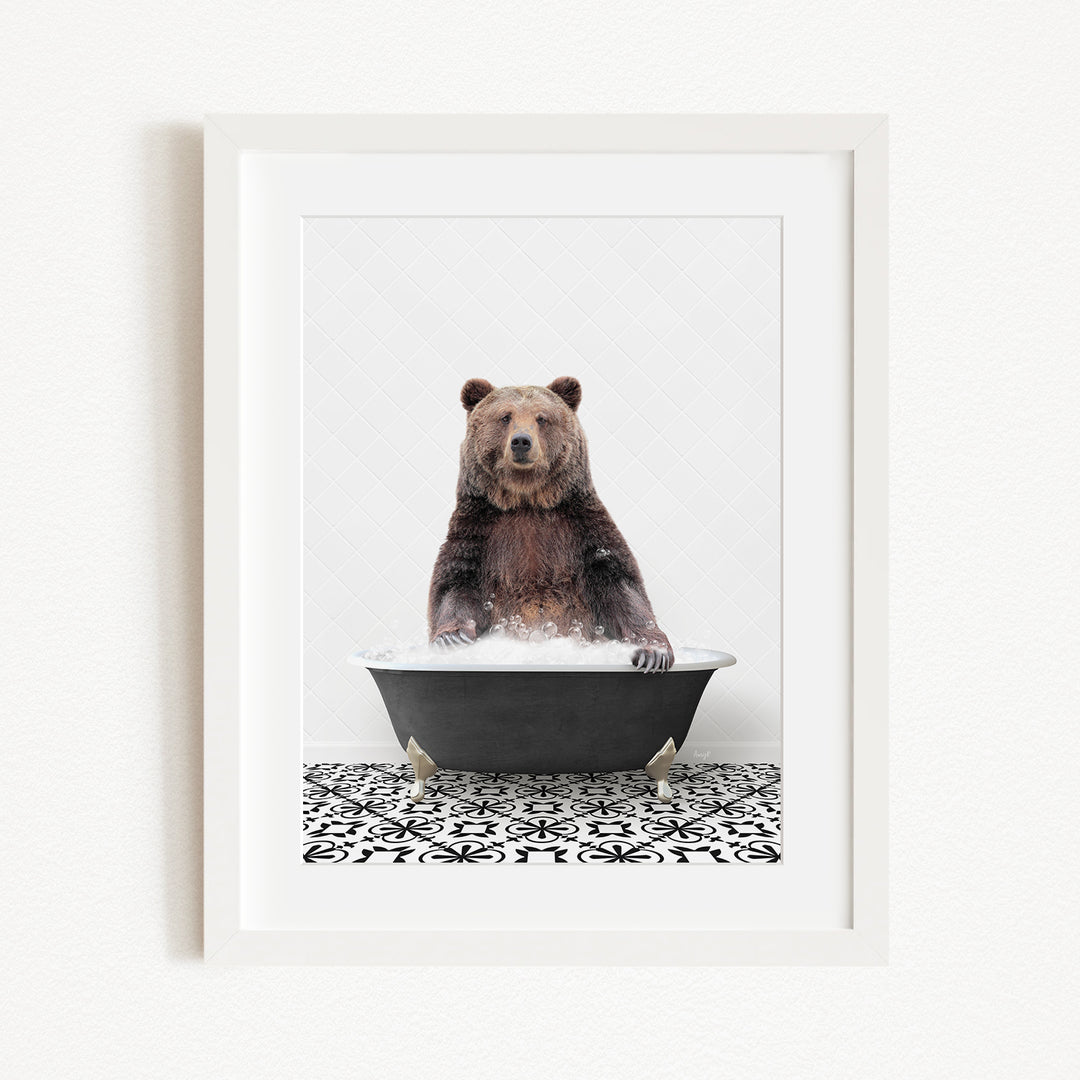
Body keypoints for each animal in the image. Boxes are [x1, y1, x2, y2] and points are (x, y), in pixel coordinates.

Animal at [427, 376, 675, 673]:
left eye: (542, 418)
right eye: (505, 416)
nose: (521, 441)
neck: (527, 500)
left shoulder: (581, 527)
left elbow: (620, 585)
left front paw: (653, 652)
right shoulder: (479, 529)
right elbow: (455, 583)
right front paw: (451, 638)